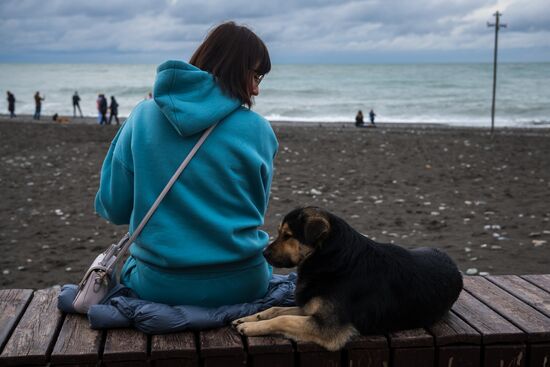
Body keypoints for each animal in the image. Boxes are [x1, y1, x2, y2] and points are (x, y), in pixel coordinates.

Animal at [234, 207, 466, 350]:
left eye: (288, 235)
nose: (264, 254)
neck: (332, 259)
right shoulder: (312, 309)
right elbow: (276, 310)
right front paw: (249, 318)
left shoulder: (329, 327)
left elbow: (283, 318)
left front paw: (250, 328)